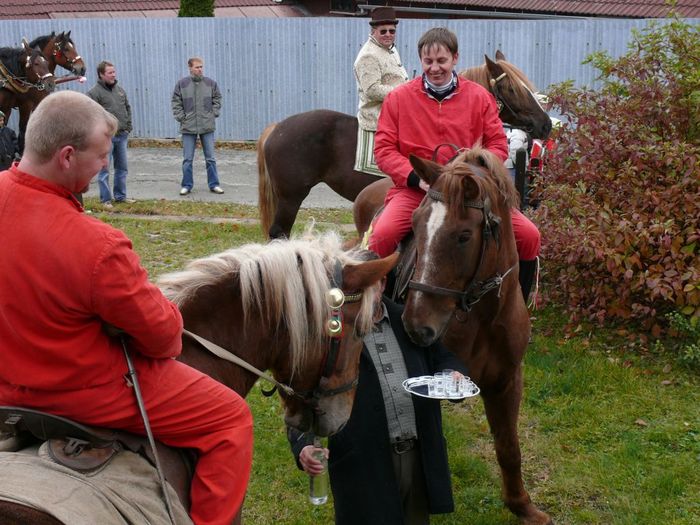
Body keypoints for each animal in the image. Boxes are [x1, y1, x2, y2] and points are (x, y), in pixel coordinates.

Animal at [382, 148, 551, 525]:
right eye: (415, 223)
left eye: (464, 235)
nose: (416, 325)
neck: (483, 315)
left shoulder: (507, 381)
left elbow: (509, 447)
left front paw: (522, 506)